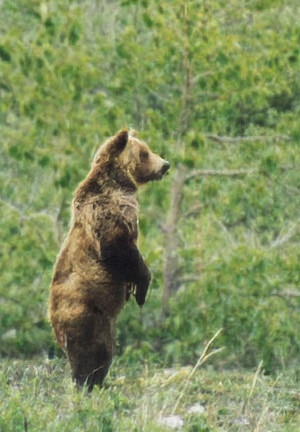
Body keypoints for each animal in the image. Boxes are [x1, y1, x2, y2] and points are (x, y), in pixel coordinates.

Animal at [50, 129, 170, 392]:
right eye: (145, 152)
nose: (165, 165)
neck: (119, 183)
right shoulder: (106, 211)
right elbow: (119, 247)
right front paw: (142, 288)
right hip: (87, 313)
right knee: (94, 351)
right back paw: (88, 383)